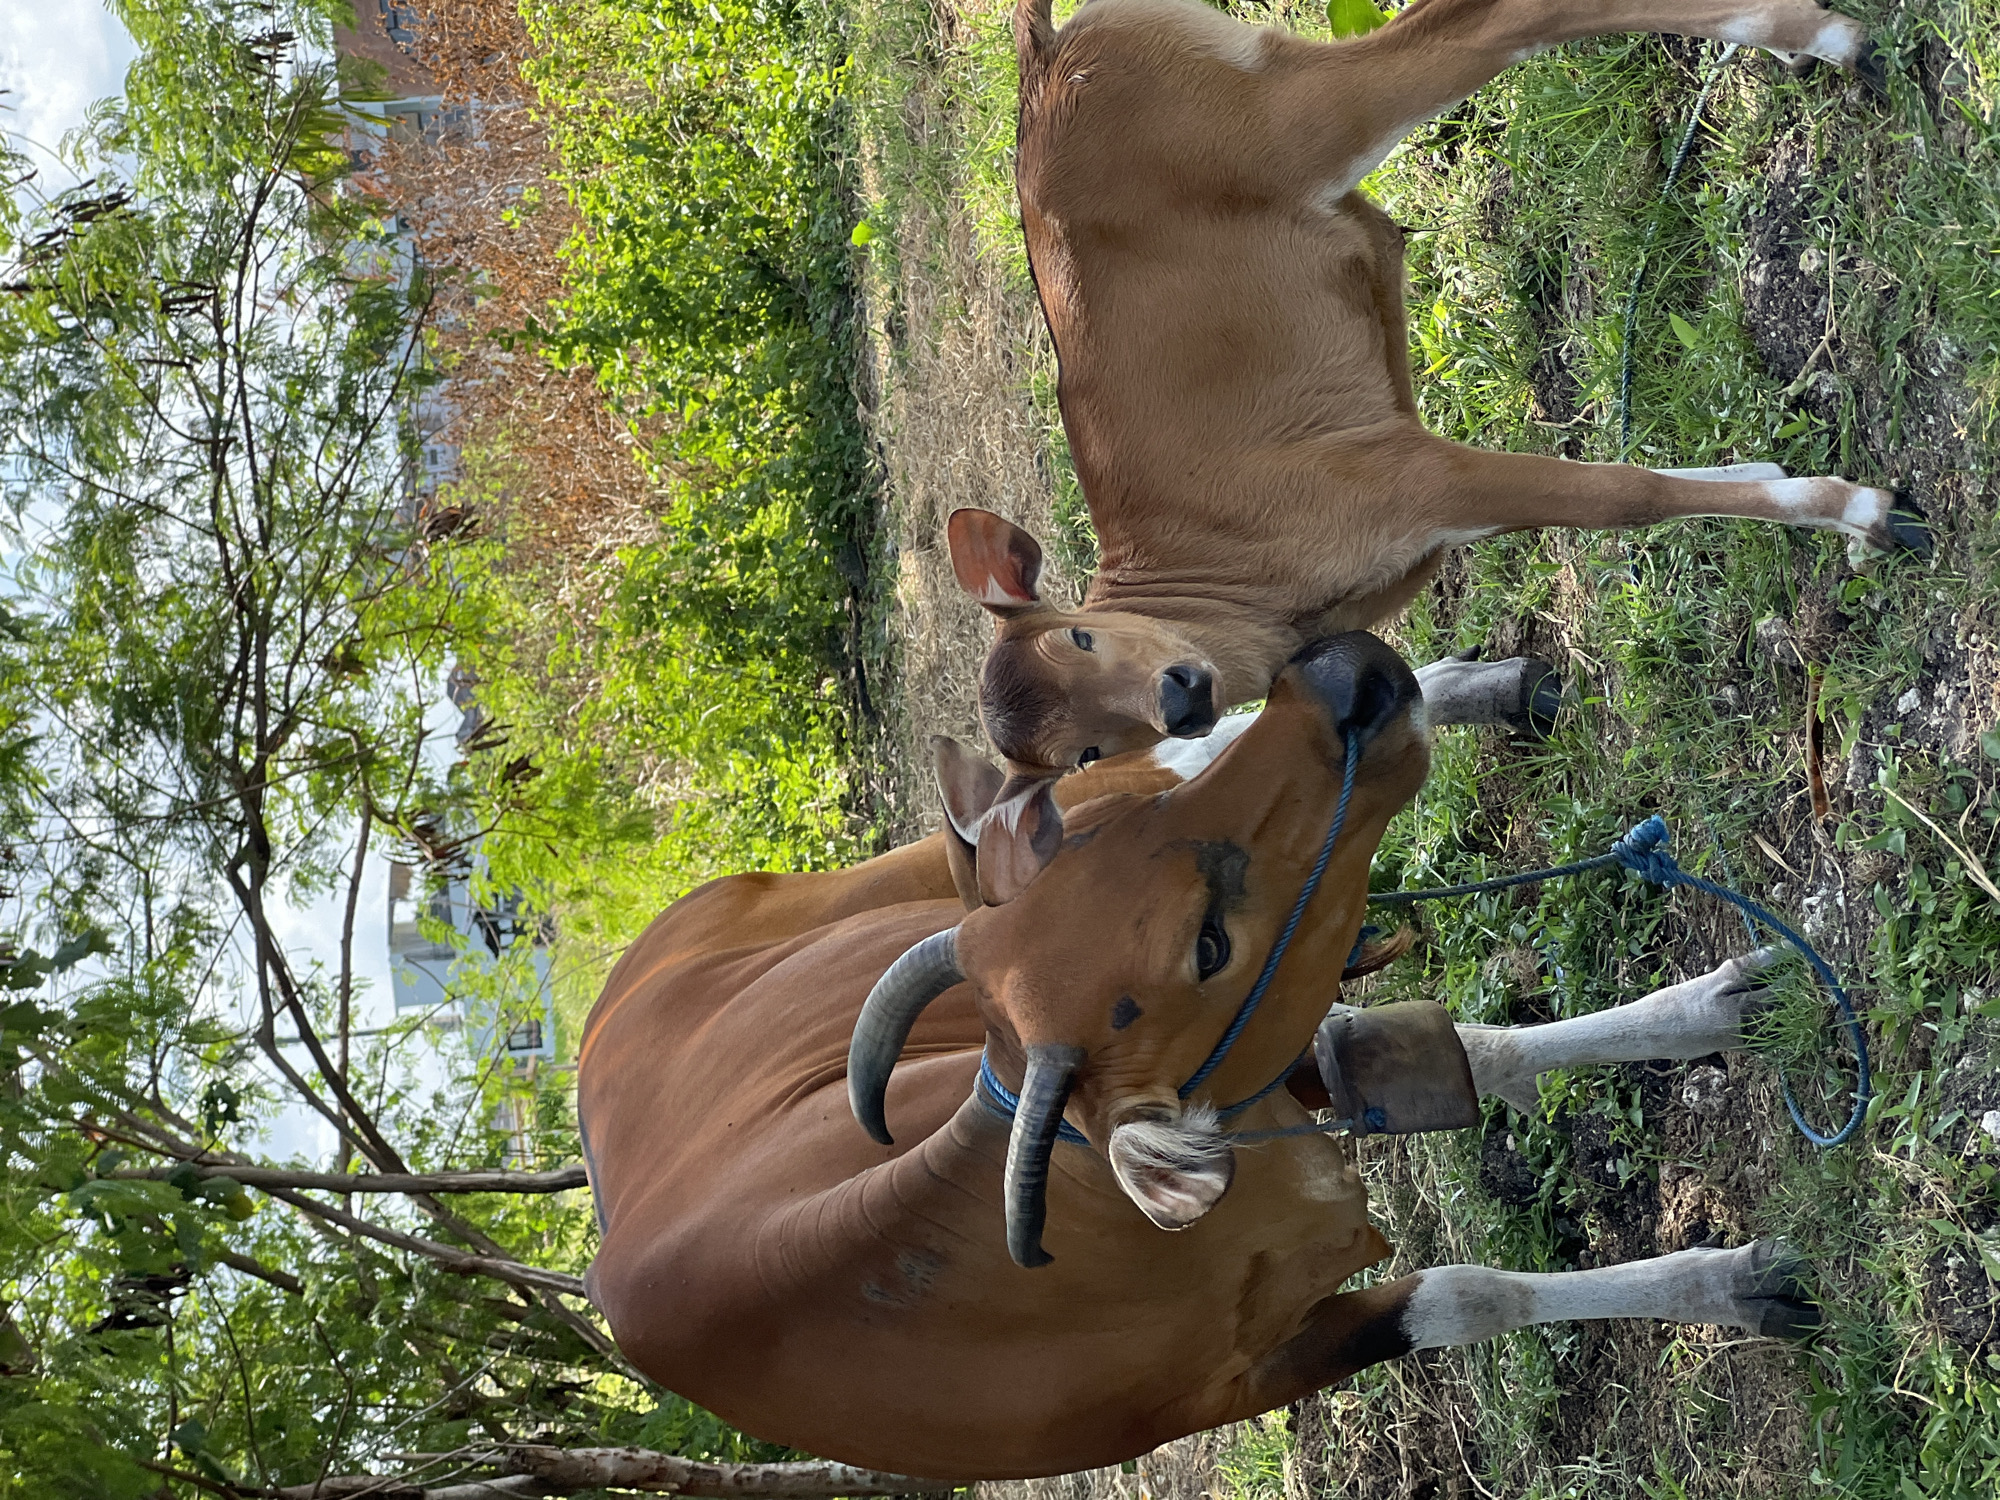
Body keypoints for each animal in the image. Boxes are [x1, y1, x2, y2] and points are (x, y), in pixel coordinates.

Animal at [578, 633, 1817, 1482]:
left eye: (1107, 854)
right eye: (1204, 946)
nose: (1345, 677)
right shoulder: (1241, 1369)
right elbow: (1467, 1289)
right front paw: (1728, 1277)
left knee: (1195, 739)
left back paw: (1485, 687)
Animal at [948, 0, 1926, 782]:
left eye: (1081, 635)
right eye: (1086, 753)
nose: (1180, 698)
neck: (1242, 590)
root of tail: (1044, 57)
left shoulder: (1406, 475)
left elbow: (1621, 497)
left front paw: (1866, 513)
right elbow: (1636, 486)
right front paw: (1777, 480)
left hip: (1289, 116)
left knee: (1504, 21)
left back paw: (1829, 40)